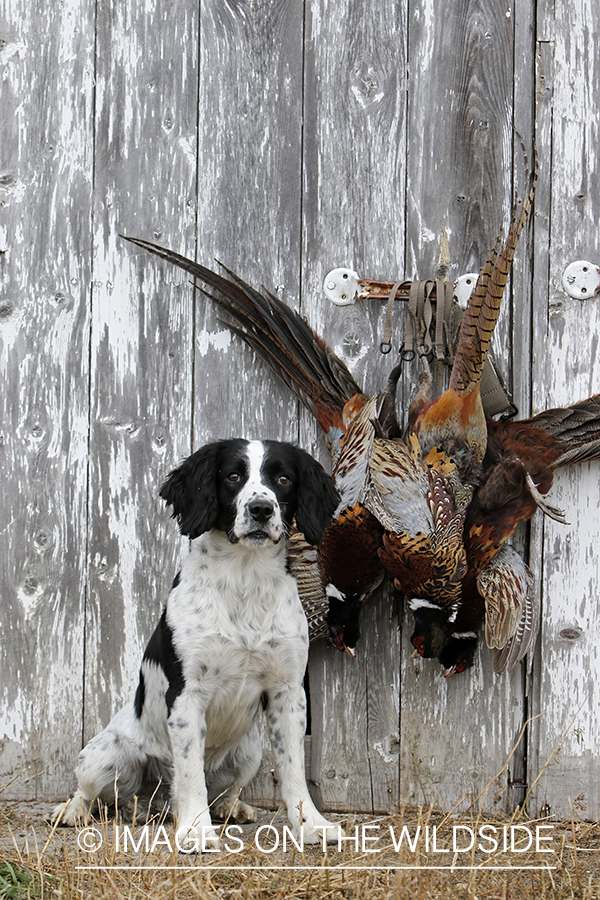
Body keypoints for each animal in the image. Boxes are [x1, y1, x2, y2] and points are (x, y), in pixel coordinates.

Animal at [54, 442, 344, 852]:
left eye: (284, 478)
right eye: (233, 476)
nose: (261, 509)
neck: (245, 579)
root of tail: (153, 801)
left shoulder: (287, 691)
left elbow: (293, 770)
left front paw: (311, 824)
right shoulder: (186, 693)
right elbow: (190, 770)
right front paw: (195, 831)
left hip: (248, 751)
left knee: (222, 789)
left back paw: (231, 807)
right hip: (102, 757)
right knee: (90, 793)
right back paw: (72, 811)